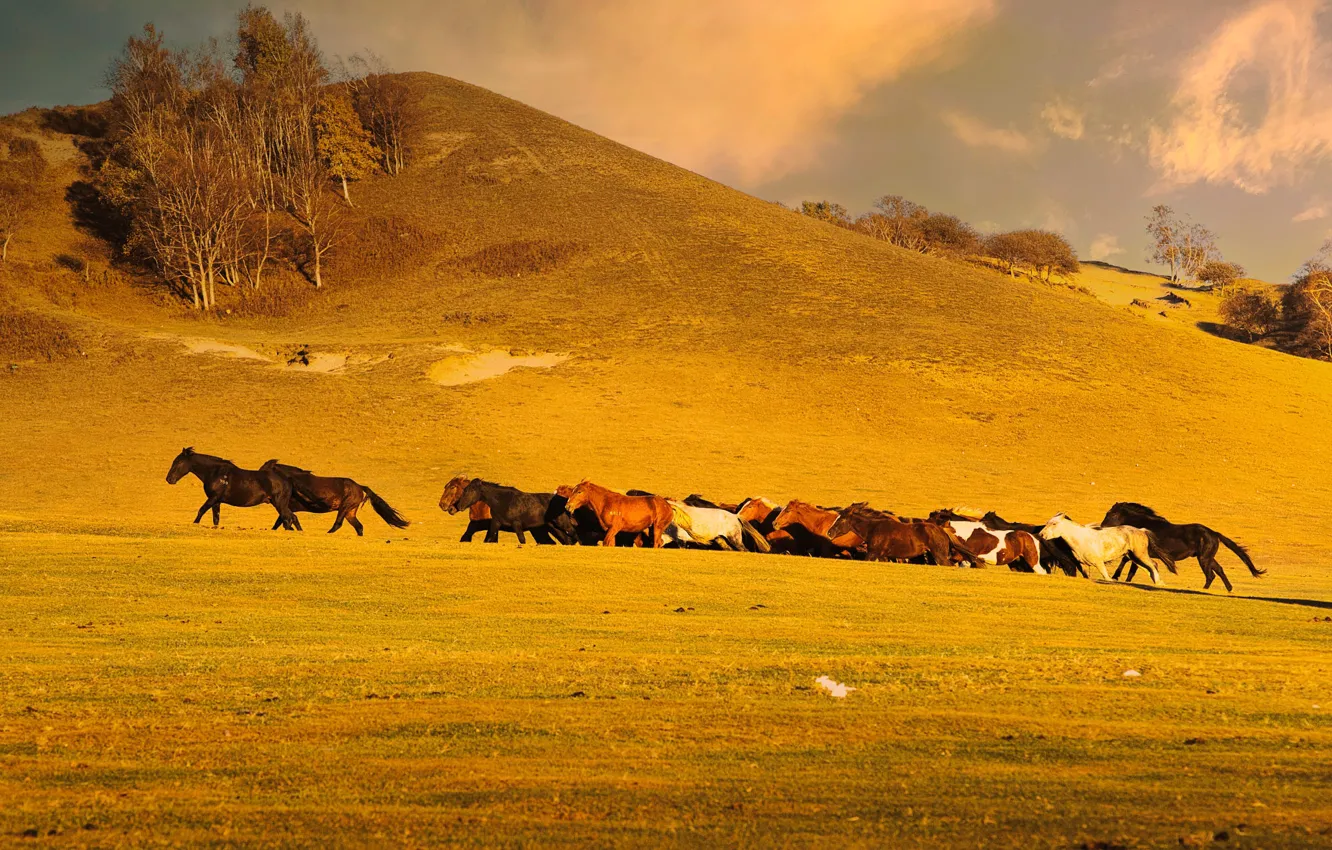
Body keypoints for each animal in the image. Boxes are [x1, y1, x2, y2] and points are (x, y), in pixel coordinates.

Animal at [165, 447, 300, 530]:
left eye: (178, 462)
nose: (169, 479)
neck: (215, 473)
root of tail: (287, 480)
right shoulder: (217, 501)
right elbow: (216, 519)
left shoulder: (213, 498)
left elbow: (201, 511)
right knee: (292, 518)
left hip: (279, 503)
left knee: (289, 518)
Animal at [267, 463, 408, 536]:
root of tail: (359, 486)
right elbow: (281, 522)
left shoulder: (285, 508)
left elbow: (283, 521)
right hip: (350, 512)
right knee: (359, 526)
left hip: (344, 508)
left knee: (338, 524)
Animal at [1038, 514, 1173, 584]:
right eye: (1047, 522)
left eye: (1054, 524)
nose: (1041, 534)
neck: (1081, 539)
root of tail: (1141, 530)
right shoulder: (1082, 564)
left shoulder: (1099, 562)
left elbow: (1106, 577)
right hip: (1133, 556)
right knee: (1149, 567)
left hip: (1140, 554)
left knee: (1153, 565)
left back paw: (1159, 582)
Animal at [1100, 502, 1263, 593]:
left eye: (1111, 514)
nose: (1102, 527)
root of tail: (1214, 533)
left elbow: (1128, 563)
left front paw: (1117, 577)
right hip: (1208, 558)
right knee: (1219, 570)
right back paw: (1229, 589)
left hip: (1203, 559)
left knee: (1211, 575)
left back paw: (1204, 589)